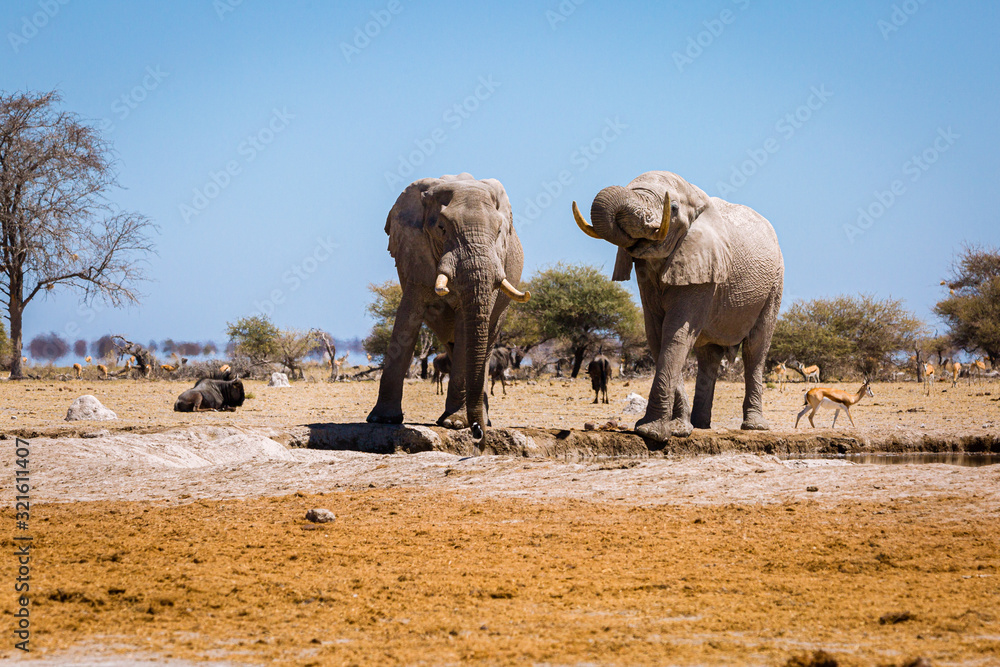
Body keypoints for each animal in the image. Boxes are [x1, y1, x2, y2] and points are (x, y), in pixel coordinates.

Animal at [367, 173, 529, 440]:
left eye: (499, 232)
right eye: (442, 229)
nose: (477, 433)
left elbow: (466, 325)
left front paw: (455, 424)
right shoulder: (415, 254)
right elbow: (405, 321)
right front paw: (382, 420)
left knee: (485, 345)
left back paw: (479, 420)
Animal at [573, 171, 783, 440]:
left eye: (672, 208)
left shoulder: (706, 267)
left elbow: (676, 332)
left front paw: (652, 433)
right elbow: (656, 334)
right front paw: (676, 429)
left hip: (774, 283)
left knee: (755, 348)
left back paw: (754, 426)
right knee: (709, 356)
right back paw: (701, 425)